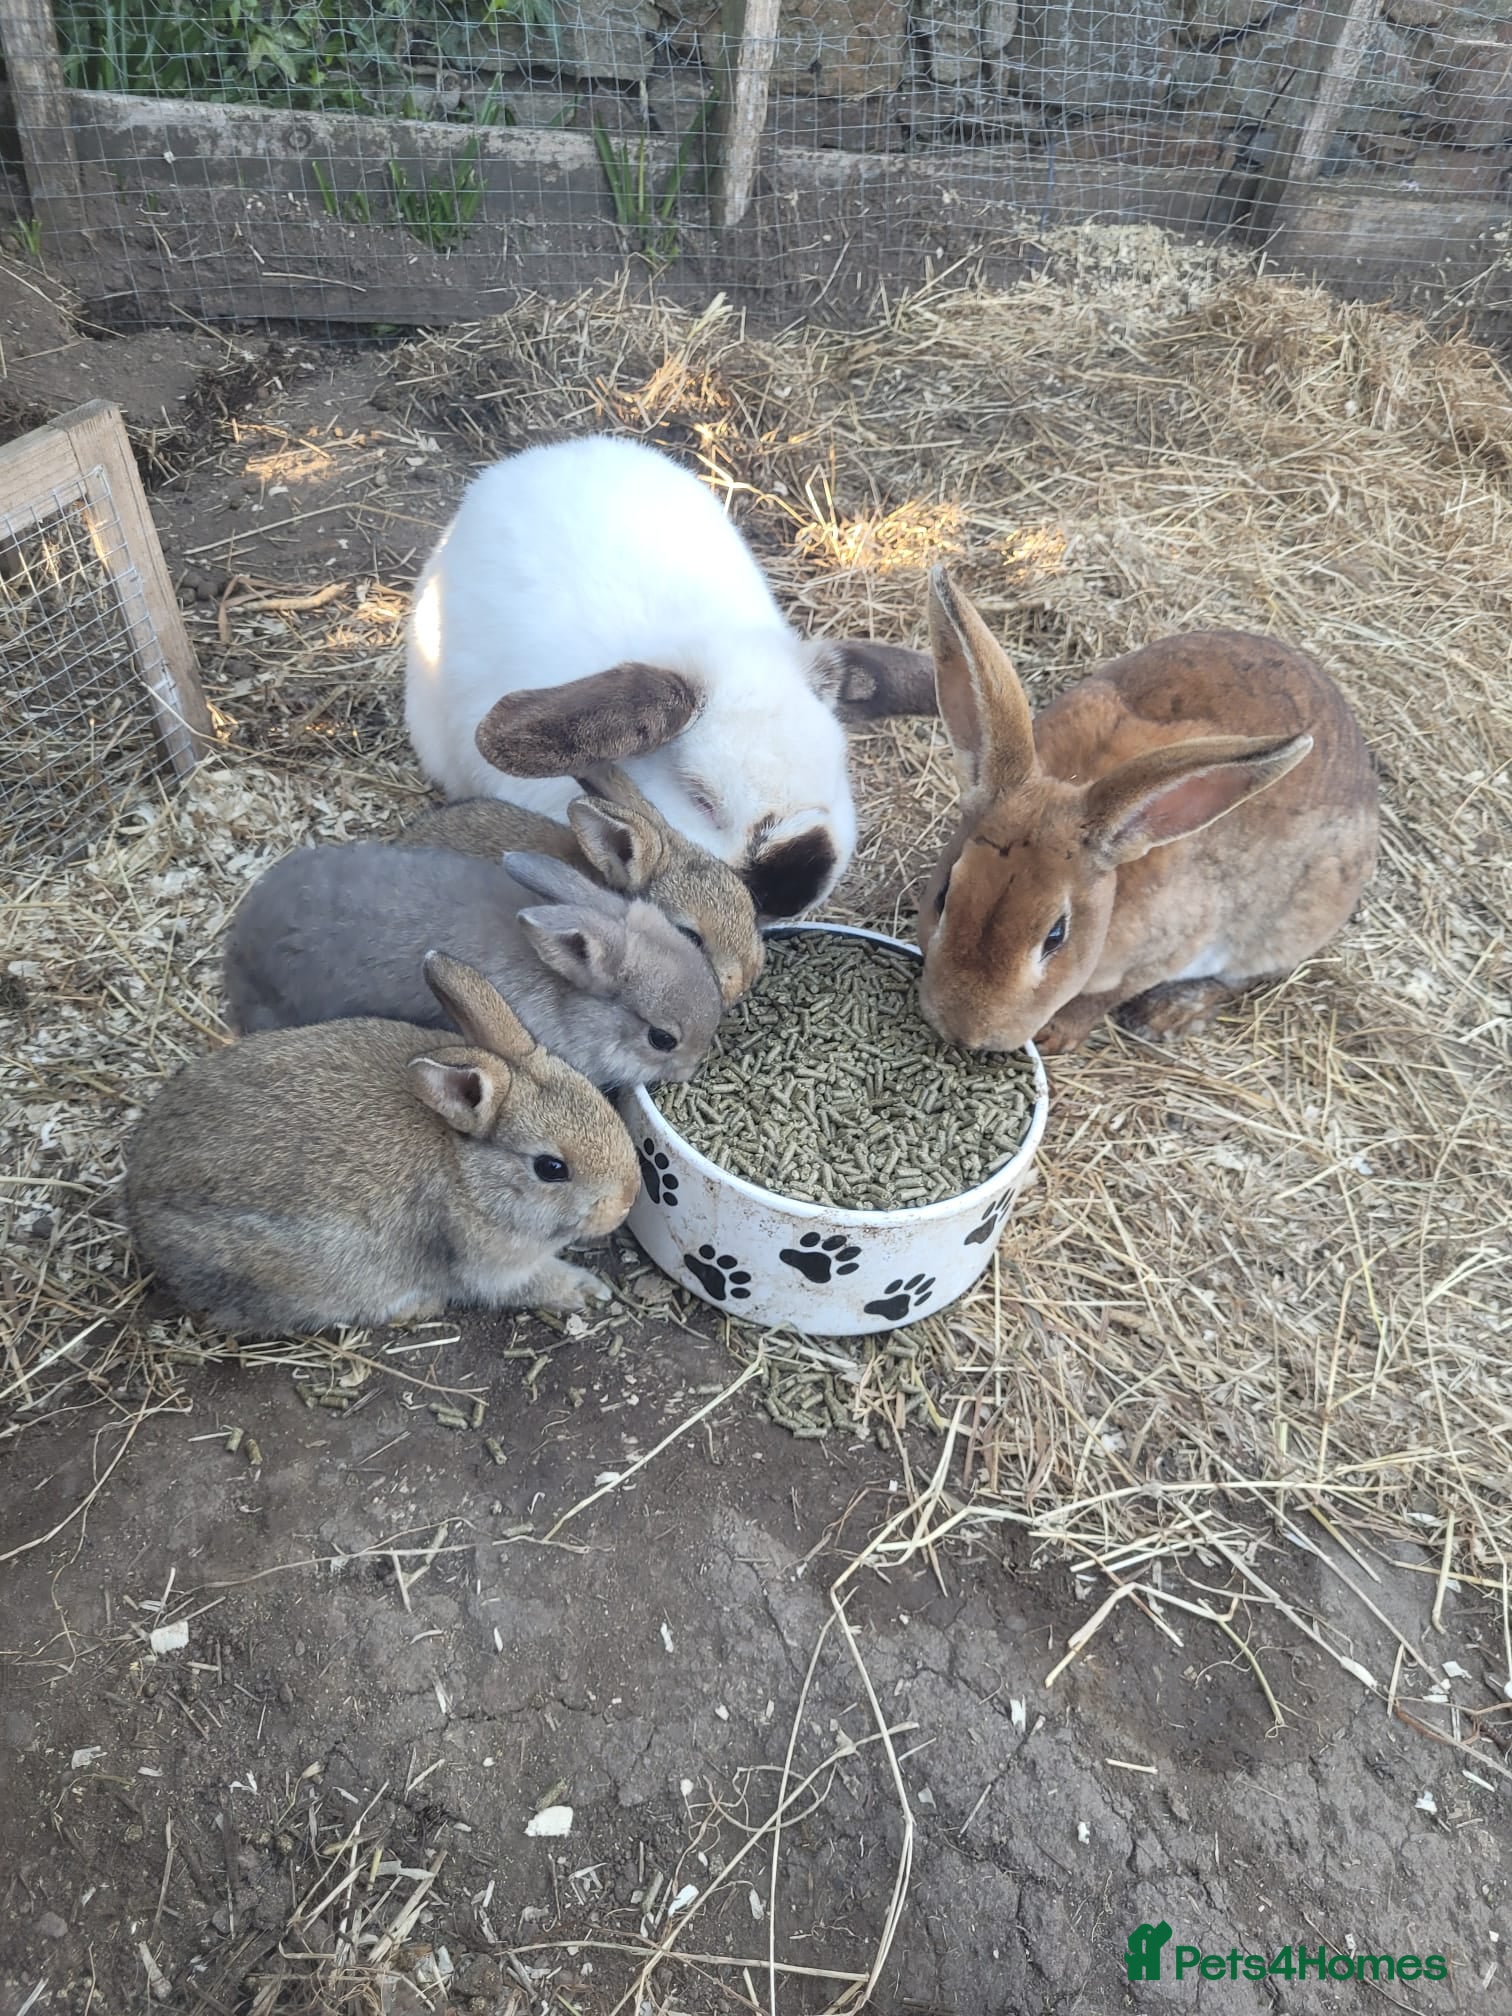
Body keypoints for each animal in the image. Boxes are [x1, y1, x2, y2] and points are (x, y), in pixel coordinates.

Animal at [125, 952, 641, 1335]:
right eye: (551, 1168)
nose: (626, 1202)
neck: (466, 1168)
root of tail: (137, 1211)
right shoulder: (491, 1268)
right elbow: (531, 1284)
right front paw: (588, 1291)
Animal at [916, 568, 1379, 1055]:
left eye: (1056, 936)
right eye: (944, 895)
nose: (965, 1032)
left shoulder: (1166, 952)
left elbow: (1104, 997)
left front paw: (1054, 1035)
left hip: (1281, 929)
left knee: (1247, 976)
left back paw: (1169, 1014)